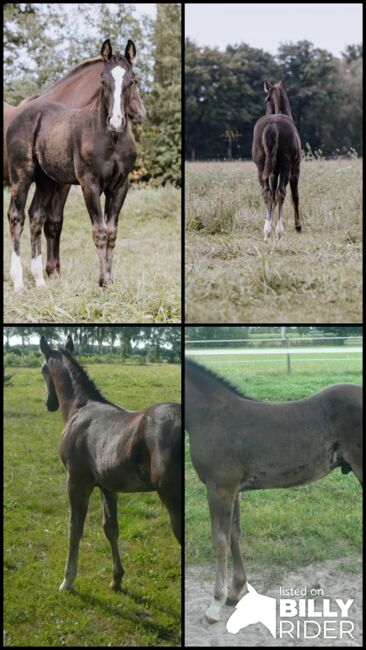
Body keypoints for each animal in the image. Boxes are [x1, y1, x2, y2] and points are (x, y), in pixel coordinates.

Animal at [5, 38, 146, 286]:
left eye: (132, 80)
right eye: (103, 79)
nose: (117, 121)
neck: (111, 139)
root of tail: (21, 115)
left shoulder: (120, 186)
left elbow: (112, 232)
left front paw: (110, 280)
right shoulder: (89, 184)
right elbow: (99, 231)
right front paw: (103, 281)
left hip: (46, 181)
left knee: (35, 216)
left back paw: (40, 281)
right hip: (21, 175)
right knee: (16, 216)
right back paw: (19, 282)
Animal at [39, 334, 180, 592]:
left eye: (43, 368)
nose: (49, 403)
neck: (79, 409)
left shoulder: (76, 482)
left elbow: (74, 528)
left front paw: (67, 579)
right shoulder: (107, 486)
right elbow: (111, 528)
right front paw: (116, 579)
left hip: (172, 500)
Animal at [186, 360, 364, 624]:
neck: (210, 415)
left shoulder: (219, 488)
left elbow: (219, 540)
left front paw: (214, 605)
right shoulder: (234, 489)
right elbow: (234, 534)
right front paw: (235, 591)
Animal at [253, 80, 302, 240]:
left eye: (266, 99)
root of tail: (272, 124)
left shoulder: (273, 172)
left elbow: (272, 196)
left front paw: (270, 221)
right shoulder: (295, 169)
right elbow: (295, 196)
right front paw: (298, 226)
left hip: (261, 167)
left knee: (267, 192)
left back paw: (267, 230)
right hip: (286, 166)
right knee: (281, 192)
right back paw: (279, 231)